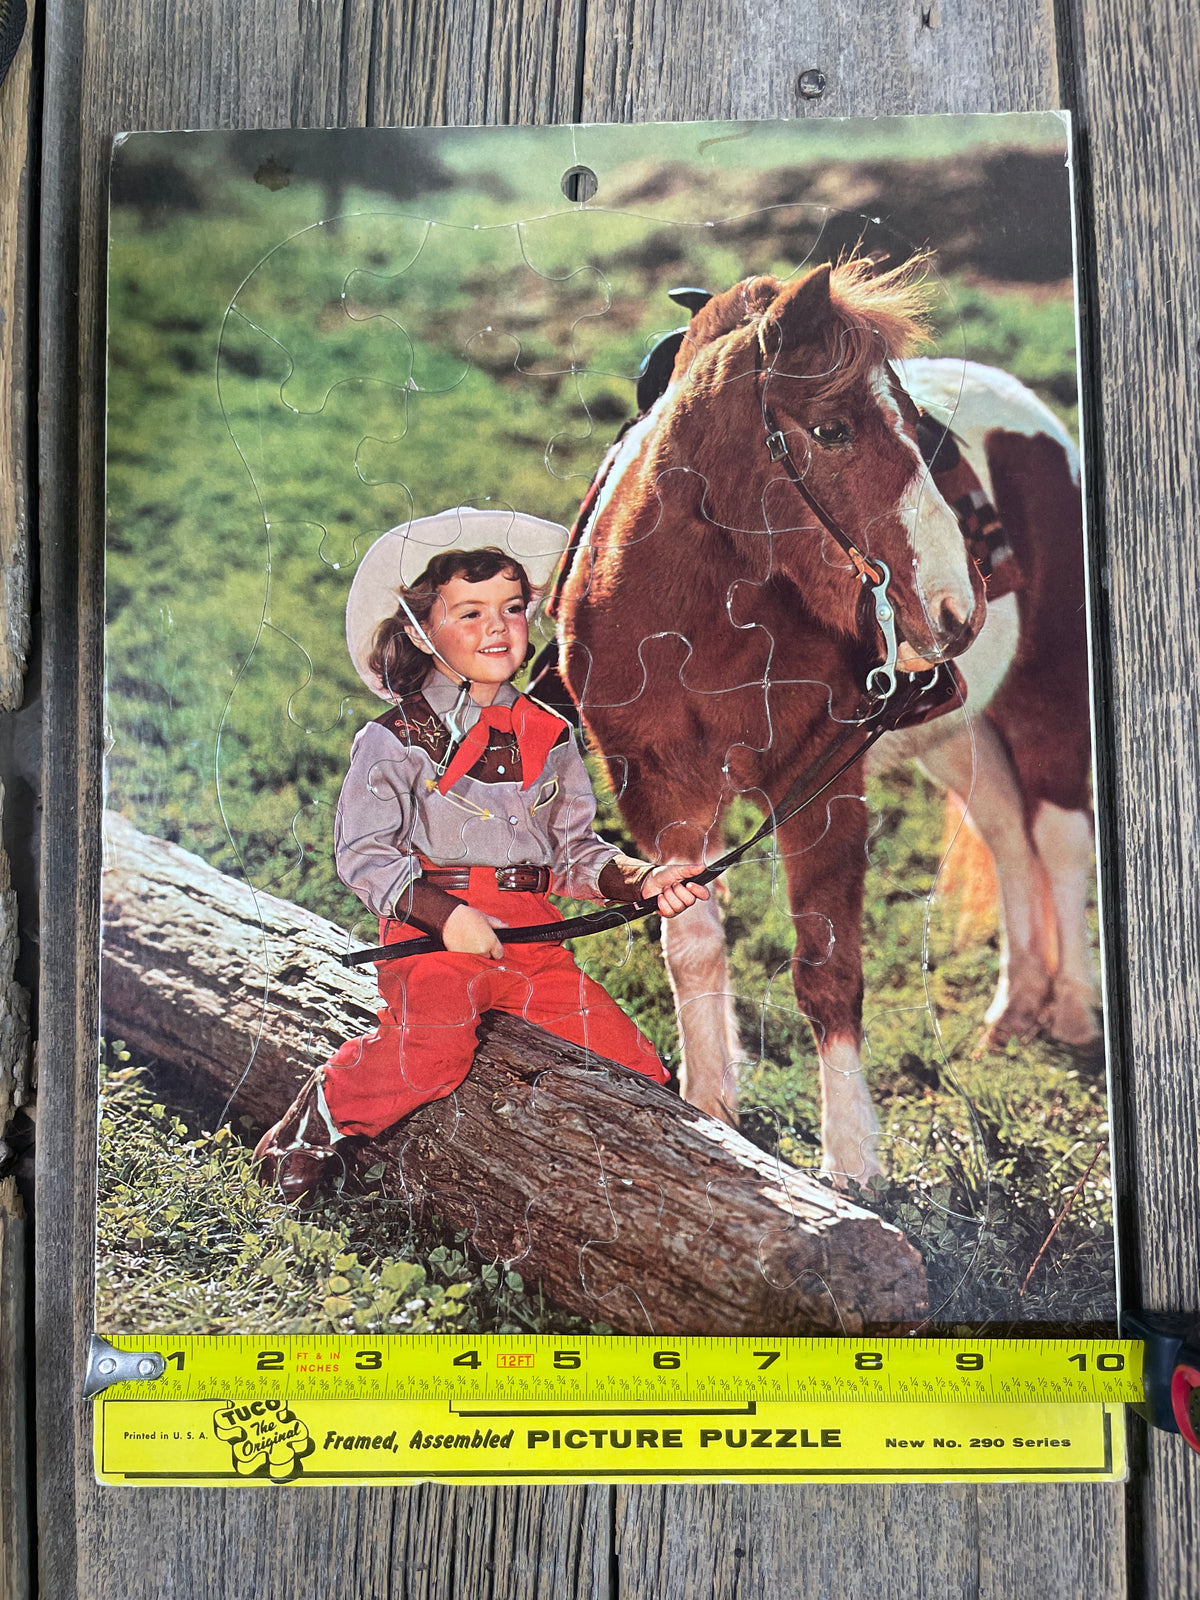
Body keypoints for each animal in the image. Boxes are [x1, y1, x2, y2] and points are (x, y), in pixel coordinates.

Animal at [552, 260, 1100, 1182]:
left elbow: (828, 970)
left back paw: (1072, 1011)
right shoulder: (659, 790)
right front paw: (709, 1112)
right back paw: (1014, 1010)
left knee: (1059, 840)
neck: (701, 619)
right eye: (832, 430)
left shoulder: (823, 787)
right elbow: (691, 944)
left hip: (1049, 695)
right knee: (1006, 836)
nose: (957, 607)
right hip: (958, 737)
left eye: (918, 430)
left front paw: (852, 1163)